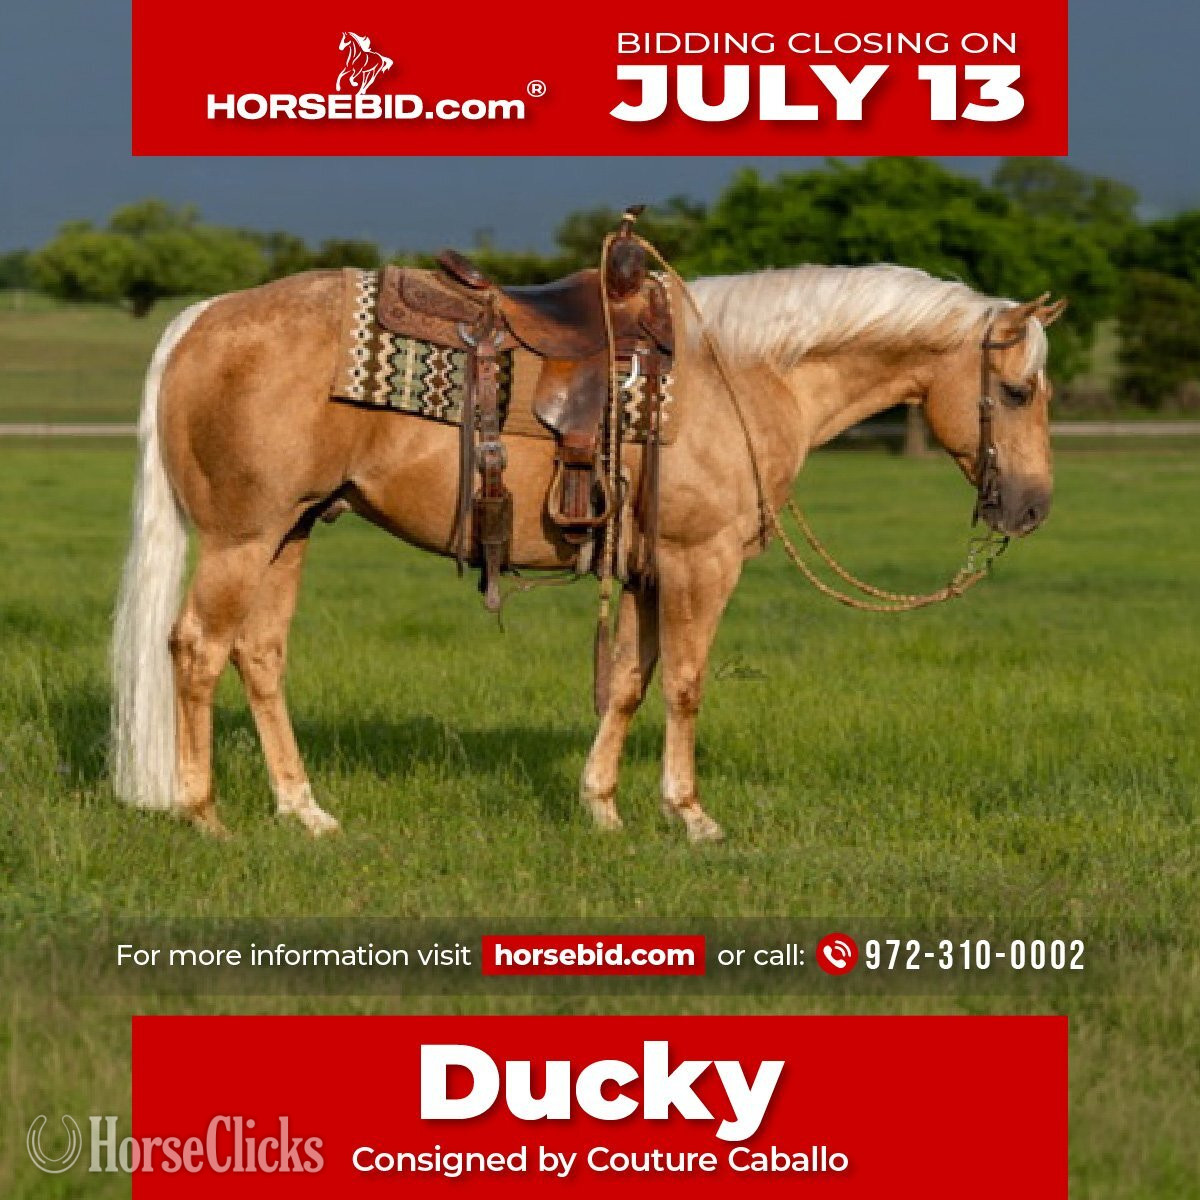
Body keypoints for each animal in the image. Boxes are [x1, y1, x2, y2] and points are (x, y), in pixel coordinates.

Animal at [111, 262, 1065, 841]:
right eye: (1019, 392)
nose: (1032, 507)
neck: (746, 375)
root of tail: (202, 318)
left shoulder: (644, 570)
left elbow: (632, 683)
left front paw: (602, 808)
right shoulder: (699, 561)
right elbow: (685, 684)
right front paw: (691, 815)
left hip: (293, 530)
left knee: (260, 656)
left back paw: (306, 813)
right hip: (242, 539)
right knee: (197, 649)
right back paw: (203, 814)